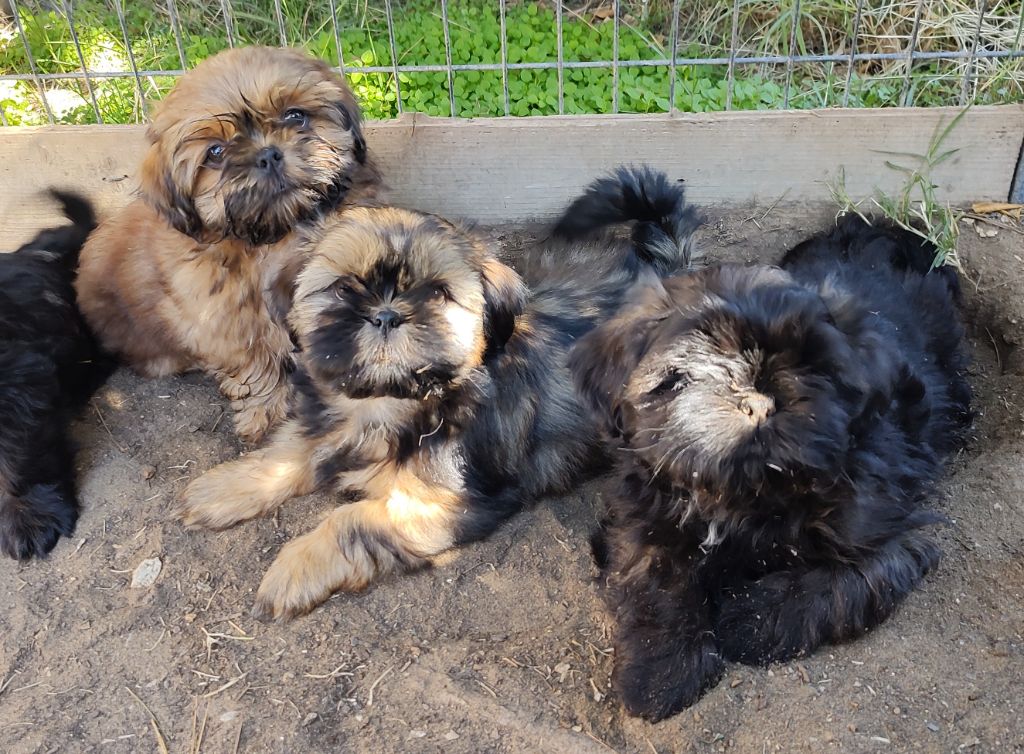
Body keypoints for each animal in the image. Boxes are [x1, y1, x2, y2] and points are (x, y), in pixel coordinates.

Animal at [74, 45, 380, 442]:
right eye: (216, 152)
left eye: (296, 116)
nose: (268, 155)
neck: (273, 234)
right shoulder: (223, 318)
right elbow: (255, 361)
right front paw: (265, 413)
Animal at [178, 168, 704, 622]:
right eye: (345, 288)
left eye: (435, 294)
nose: (386, 315)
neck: (393, 403)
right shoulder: (328, 422)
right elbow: (287, 453)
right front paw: (224, 488)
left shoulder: (448, 502)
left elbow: (353, 520)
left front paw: (294, 568)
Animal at [573, 212, 970, 717]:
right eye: (684, 372)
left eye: (812, 365)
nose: (760, 402)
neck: (746, 495)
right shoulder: (641, 510)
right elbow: (654, 576)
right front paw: (661, 669)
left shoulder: (893, 533)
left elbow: (841, 581)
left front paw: (749, 619)